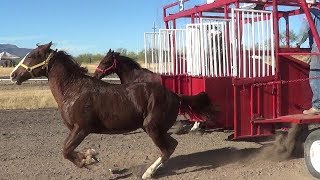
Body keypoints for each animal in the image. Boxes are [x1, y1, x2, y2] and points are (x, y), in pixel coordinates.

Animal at [10, 42, 215, 179]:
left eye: (32, 55)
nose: (13, 75)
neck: (73, 90)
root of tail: (175, 95)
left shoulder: (81, 128)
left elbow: (66, 150)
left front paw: (86, 160)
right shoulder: (75, 130)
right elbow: (70, 150)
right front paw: (90, 155)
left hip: (152, 128)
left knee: (168, 147)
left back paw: (148, 172)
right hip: (153, 128)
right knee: (171, 145)